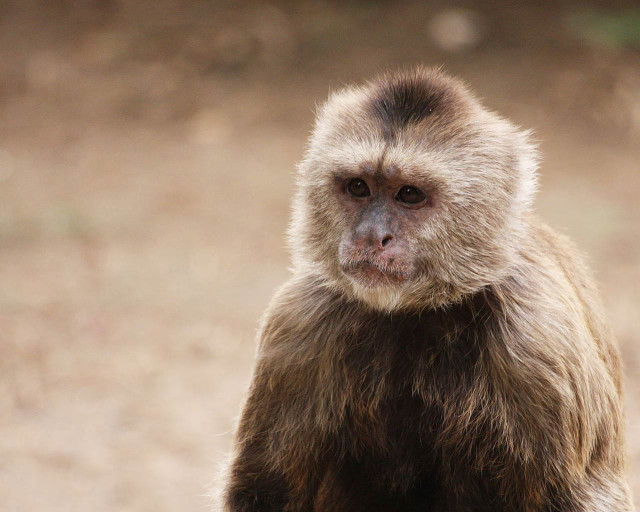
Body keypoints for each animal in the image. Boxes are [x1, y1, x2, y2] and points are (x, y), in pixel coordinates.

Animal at [216, 67, 634, 511]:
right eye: (359, 187)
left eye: (409, 194)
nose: (371, 236)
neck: (418, 313)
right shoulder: (300, 323)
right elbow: (264, 491)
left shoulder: (539, 343)